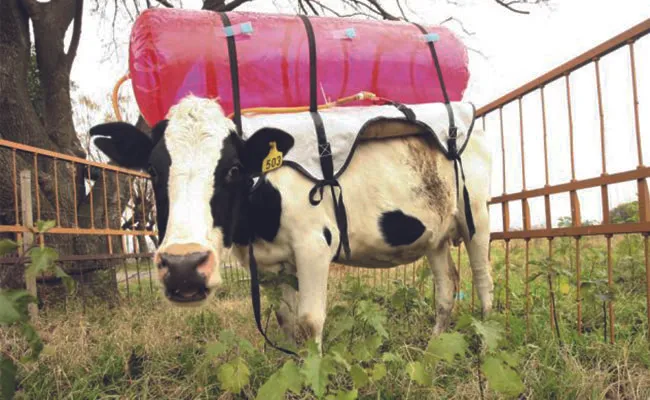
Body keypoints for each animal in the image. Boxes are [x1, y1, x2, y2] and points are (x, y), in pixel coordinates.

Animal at [90, 95, 494, 347]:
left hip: (476, 216)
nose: (184, 266)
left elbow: (310, 320)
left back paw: (487, 343)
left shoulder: (314, 246)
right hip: (435, 234)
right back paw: (433, 347)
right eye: (153, 170)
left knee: (482, 278)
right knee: (446, 287)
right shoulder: (270, 265)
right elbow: (286, 321)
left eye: (234, 169)